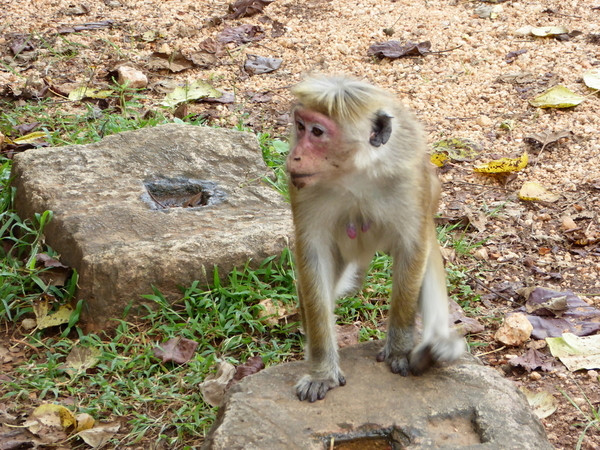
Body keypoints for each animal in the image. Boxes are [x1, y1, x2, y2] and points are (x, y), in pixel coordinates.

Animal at [286, 75, 464, 402]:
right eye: (300, 126)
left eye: (317, 132)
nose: (295, 155)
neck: (356, 172)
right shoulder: (303, 189)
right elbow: (313, 257)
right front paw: (322, 372)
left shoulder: (409, 181)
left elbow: (413, 249)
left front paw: (400, 350)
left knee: (427, 253)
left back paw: (433, 350)